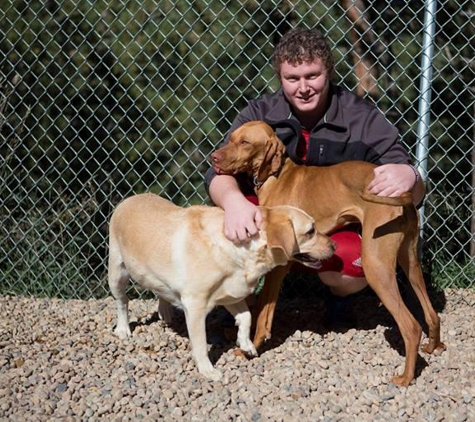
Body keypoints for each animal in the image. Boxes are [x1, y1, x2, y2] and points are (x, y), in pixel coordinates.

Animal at [109, 193, 334, 380]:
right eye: (311, 231)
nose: (334, 246)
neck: (241, 251)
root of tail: (129, 198)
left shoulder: (230, 295)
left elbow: (247, 317)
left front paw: (246, 344)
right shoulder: (195, 306)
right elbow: (200, 343)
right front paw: (207, 370)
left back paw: (165, 311)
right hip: (117, 273)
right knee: (122, 301)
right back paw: (123, 328)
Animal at [212, 118, 446, 386]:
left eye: (245, 142)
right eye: (231, 138)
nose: (213, 158)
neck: (277, 177)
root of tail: (403, 194)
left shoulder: (278, 267)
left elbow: (264, 313)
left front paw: (252, 347)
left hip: (375, 266)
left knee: (411, 327)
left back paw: (405, 377)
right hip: (410, 262)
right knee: (431, 313)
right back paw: (433, 346)